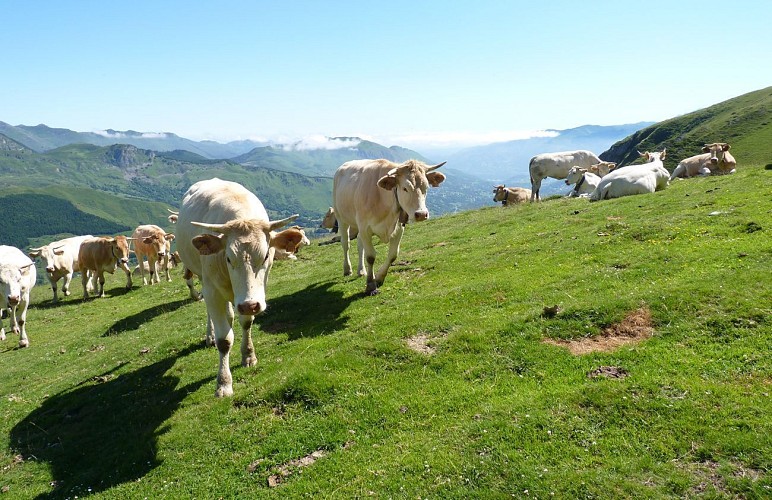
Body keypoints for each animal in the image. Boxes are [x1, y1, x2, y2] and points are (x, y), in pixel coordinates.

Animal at [175, 178, 298, 396]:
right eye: (228, 258)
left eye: (266, 255)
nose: (249, 304)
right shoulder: (213, 291)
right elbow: (224, 339)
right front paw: (223, 383)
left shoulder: (253, 296)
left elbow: (246, 322)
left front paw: (248, 355)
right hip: (203, 278)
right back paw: (210, 335)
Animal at [332, 158, 446, 294]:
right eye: (405, 188)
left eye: (426, 187)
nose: (422, 214)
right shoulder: (365, 228)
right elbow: (370, 256)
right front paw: (371, 284)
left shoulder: (399, 228)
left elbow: (393, 255)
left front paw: (379, 277)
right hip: (341, 217)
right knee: (346, 244)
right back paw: (347, 269)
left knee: (360, 245)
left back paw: (361, 270)